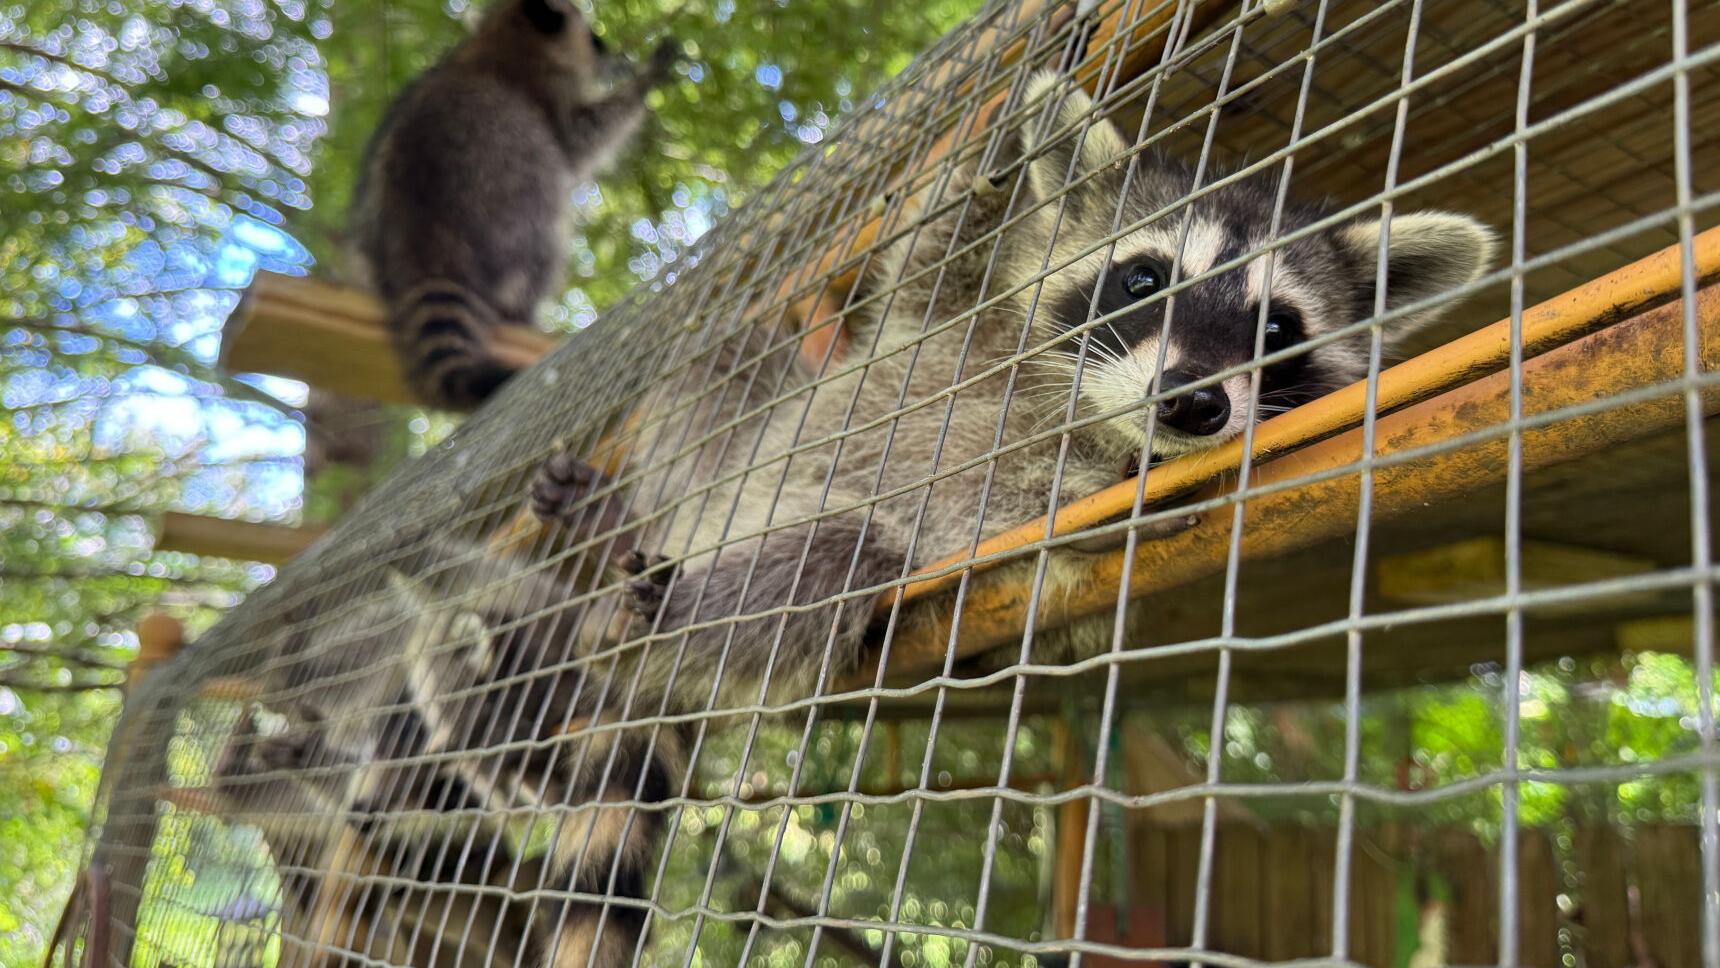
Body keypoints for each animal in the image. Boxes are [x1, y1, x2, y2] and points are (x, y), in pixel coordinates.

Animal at [349, 0, 678, 411]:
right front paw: (643, 83)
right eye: (596, 40)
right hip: (514, 213)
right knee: (546, 238)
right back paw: (526, 310)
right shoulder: (548, 93)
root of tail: (427, 245)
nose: (617, 57)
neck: (505, 36)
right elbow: (584, 137)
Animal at [530, 70, 1495, 703]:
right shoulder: (945, 325)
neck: (1077, 410)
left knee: (825, 566)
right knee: (720, 368)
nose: (1195, 402)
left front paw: (1109, 498)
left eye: (1276, 332)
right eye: (1143, 280)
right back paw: (611, 522)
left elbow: (1045, 583)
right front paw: (989, 157)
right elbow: (924, 270)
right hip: (726, 458)